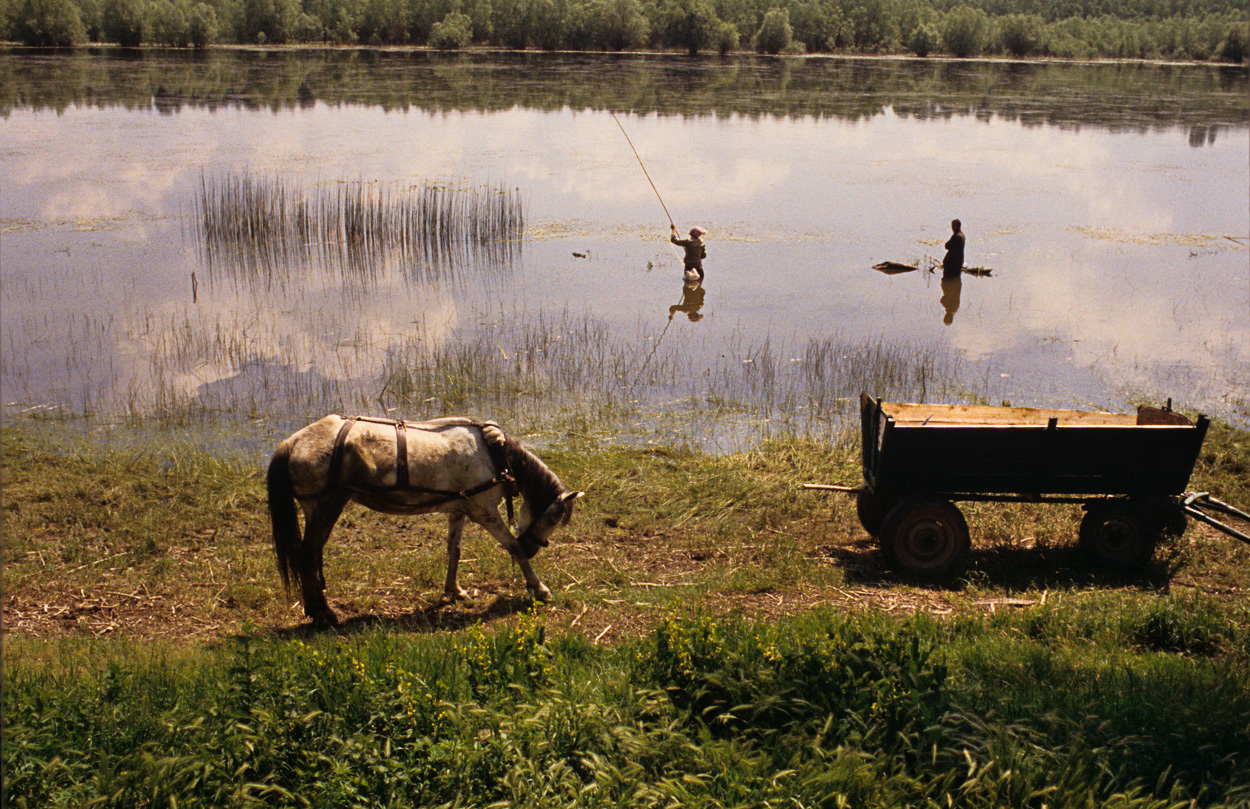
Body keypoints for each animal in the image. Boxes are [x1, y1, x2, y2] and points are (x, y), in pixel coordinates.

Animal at [266, 415, 583, 626]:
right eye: (553, 517)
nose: (534, 548)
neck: (494, 454)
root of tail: (293, 441)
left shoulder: (459, 510)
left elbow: (454, 551)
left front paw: (454, 591)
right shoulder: (485, 512)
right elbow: (512, 548)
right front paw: (539, 588)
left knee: (312, 555)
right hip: (324, 507)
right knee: (308, 555)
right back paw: (323, 612)